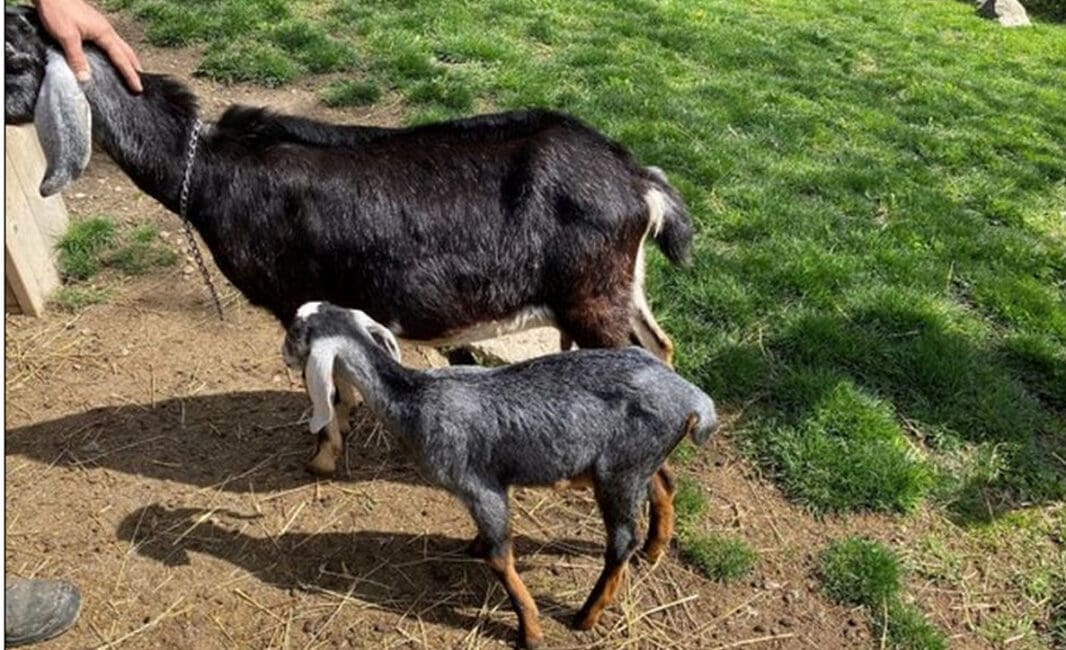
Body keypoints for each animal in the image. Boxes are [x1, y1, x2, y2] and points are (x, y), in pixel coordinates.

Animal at [5, 7, 695, 476]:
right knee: (660, 346)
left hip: (591, 295)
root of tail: (638, 181)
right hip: (621, 287)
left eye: (16, 59)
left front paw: (323, 455)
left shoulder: (293, 299)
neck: (207, 169)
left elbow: (323, 385)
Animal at [283, 301, 717, 648]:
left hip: (619, 472)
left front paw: (530, 631)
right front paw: (473, 545)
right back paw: (654, 550)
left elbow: (499, 556)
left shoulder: (479, 485)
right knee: (664, 486)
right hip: (641, 460)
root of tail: (693, 399)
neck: (414, 397)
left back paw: (586, 616)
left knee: (621, 542)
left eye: (296, 332)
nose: (284, 354)